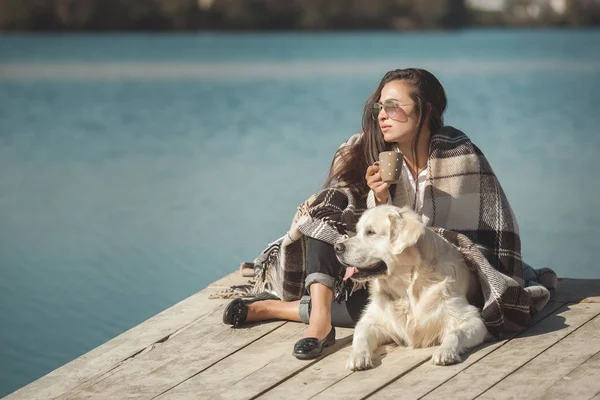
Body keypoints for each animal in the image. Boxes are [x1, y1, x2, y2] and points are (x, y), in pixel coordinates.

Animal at [336, 205, 490, 370]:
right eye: (357, 231)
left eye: (370, 232)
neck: (406, 290)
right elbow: (360, 335)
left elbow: (455, 333)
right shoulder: (371, 319)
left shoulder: (472, 319)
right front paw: (358, 356)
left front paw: (445, 351)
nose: (337, 247)